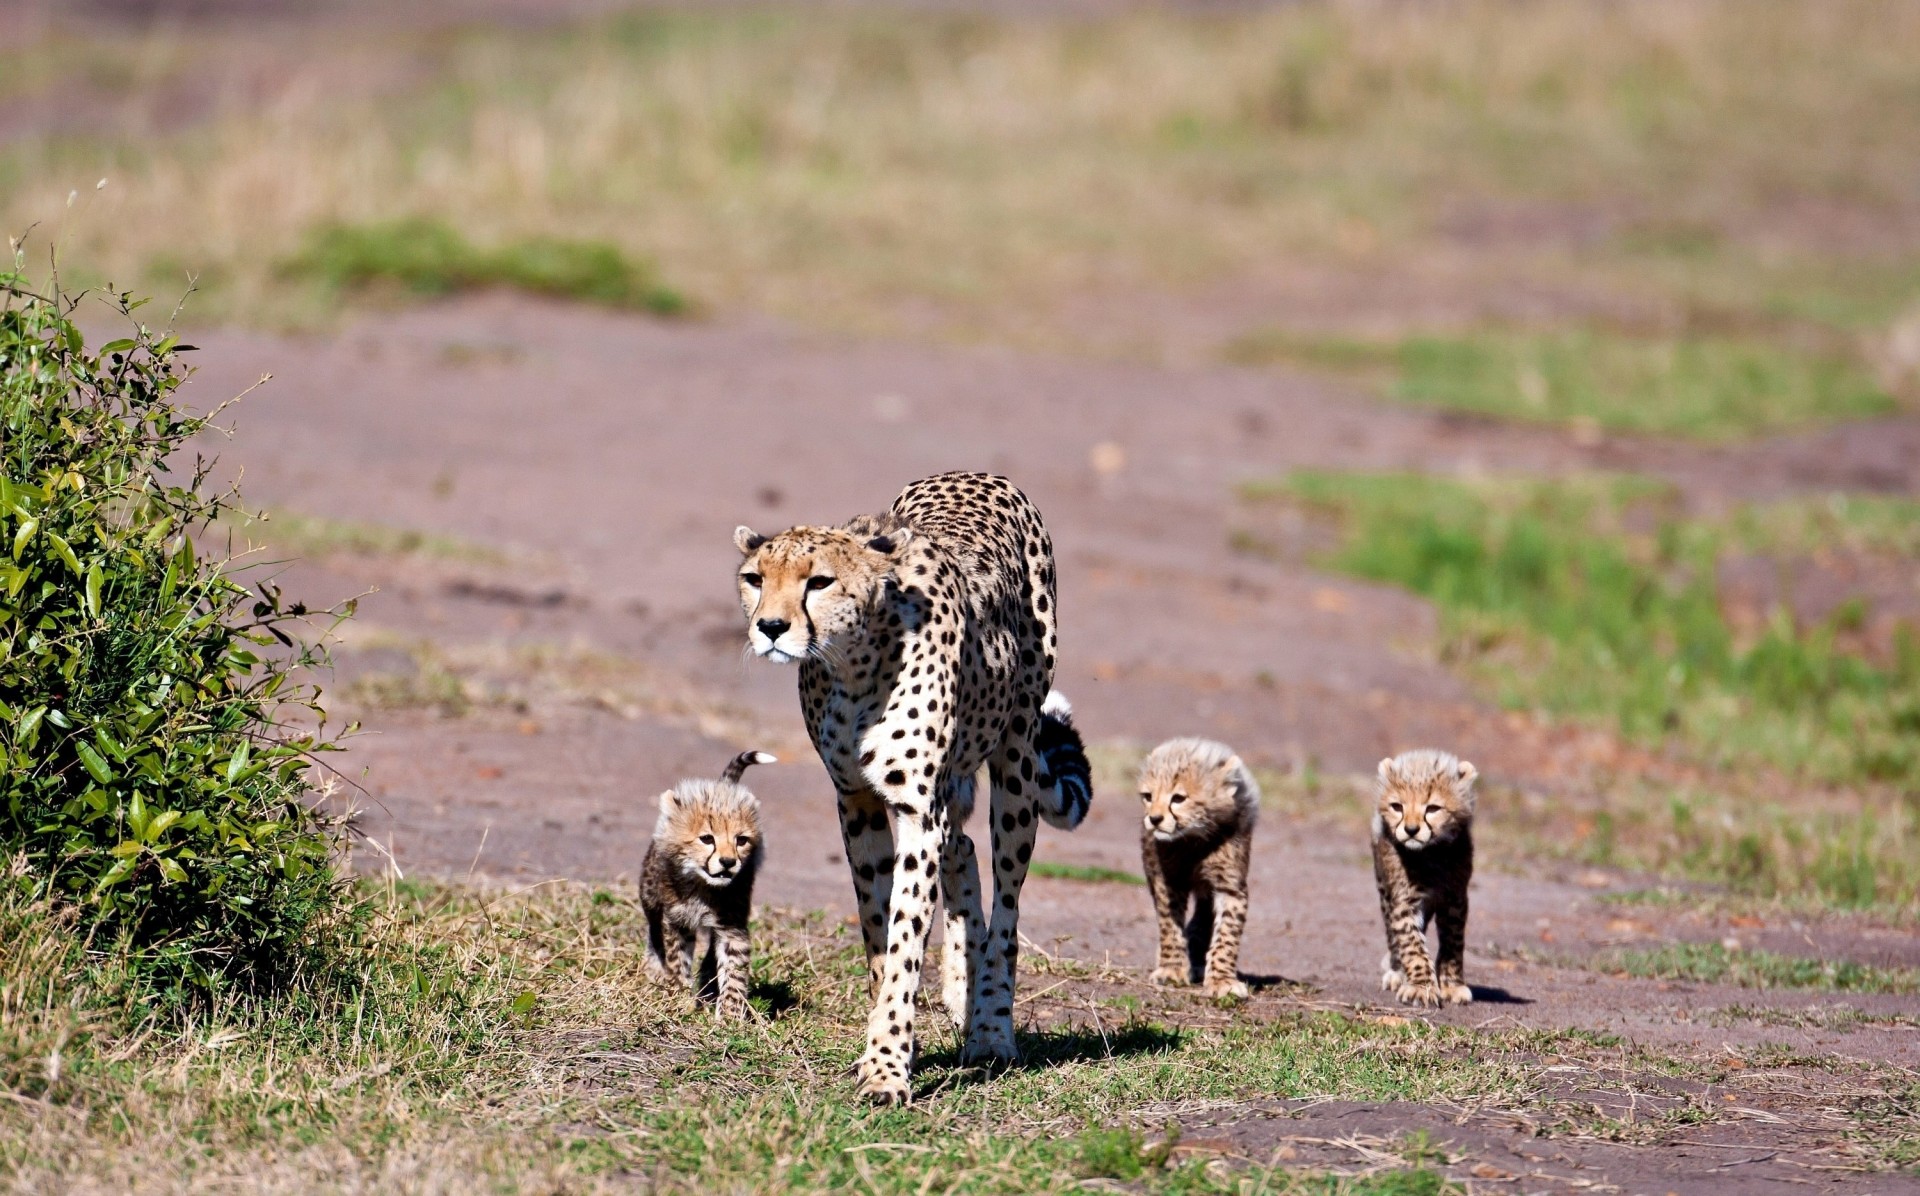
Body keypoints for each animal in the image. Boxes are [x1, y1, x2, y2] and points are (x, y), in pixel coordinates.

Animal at [640, 750, 775, 1021]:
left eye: (741, 840)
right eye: (706, 839)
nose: (728, 862)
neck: (703, 886)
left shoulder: (733, 927)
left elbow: (734, 970)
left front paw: (730, 1015)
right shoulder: (676, 921)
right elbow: (676, 959)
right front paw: (680, 997)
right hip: (648, 895)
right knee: (653, 931)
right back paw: (656, 970)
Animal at [733, 471, 1093, 1104]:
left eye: (819, 581)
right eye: (755, 579)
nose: (771, 628)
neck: (853, 664)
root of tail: (977, 473)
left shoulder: (915, 810)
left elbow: (905, 938)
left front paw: (886, 1068)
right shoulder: (855, 801)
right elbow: (879, 931)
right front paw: (894, 1040)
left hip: (1017, 760)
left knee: (1006, 906)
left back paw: (990, 1029)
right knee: (963, 849)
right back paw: (961, 992)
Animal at [1137, 738, 1259, 1000]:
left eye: (1178, 798)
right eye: (1148, 796)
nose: (1154, 819)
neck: (1194, 839)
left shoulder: (1230, 886)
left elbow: (1227, 935)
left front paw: (1222, 980)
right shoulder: (1168, 881)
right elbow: (1170, 927)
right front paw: (1171, 969)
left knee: (1203, 916)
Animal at [1372, 748, 1478, 1008]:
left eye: (1433, 808)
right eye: (1397, 806)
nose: (1411, 830)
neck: (1431, 854)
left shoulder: (1455, 899)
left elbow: (1453, 943)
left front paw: (1452, 985)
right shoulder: (1404, 902)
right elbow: (1412, 946)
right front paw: (1420, 987)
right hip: (1384, 892)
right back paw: (1396, 972)